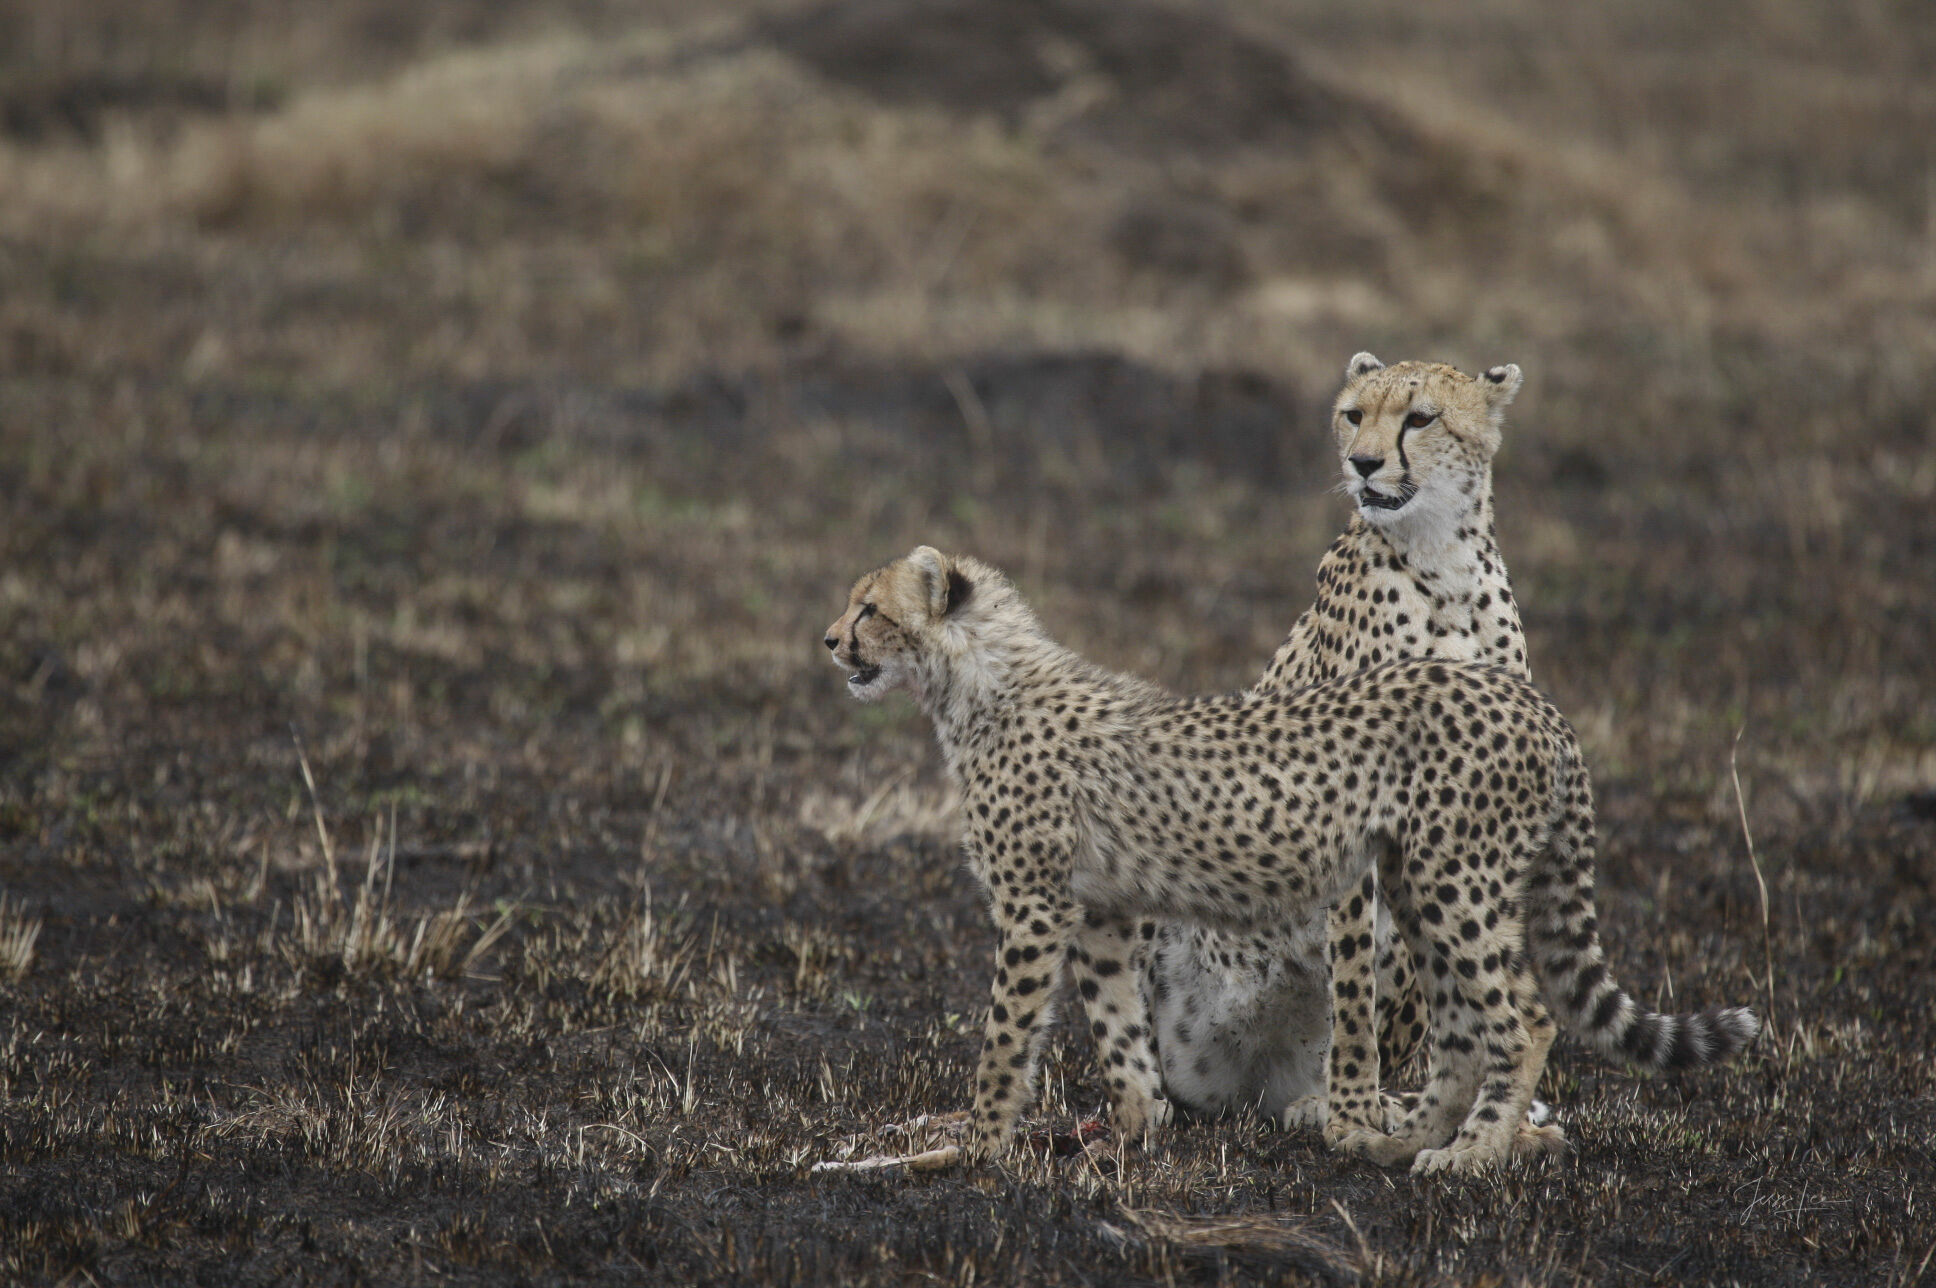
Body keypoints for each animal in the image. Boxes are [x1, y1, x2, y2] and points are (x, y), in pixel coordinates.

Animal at [823, 545, 1757, 1174]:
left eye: (870, 609)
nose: (829, 641)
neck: (977, 683)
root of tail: (1534, 701)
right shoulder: (1103, 911)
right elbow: (1119, 1031)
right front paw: (1133, 1129)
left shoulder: (1033, 905)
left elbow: (1005, 1036)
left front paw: (976, 1145)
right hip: (1418, 884)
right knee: (1460, 1031)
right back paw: (1395, 1137)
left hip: (1455, 882)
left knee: (1523, 1017)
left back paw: (1470, 1154)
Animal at [1146, 353, 1542, 1151]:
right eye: (1354, 414)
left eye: (1420, 418)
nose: (1362, 463)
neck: (1443, 563)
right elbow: (1355, 979)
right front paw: (1353, 1114)